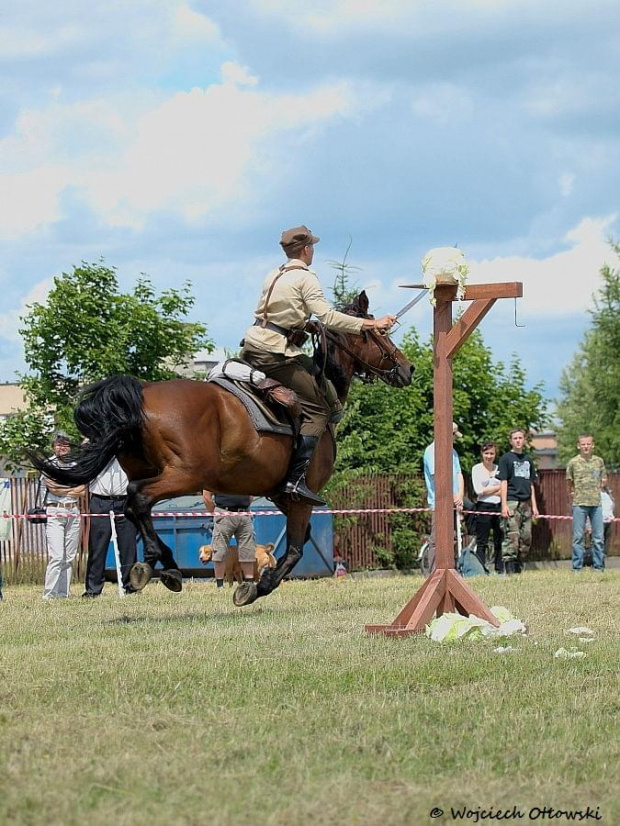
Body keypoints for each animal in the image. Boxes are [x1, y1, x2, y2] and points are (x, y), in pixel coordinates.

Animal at [31, 292, 414, 604]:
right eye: (379, 333)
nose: (408, 369)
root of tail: (142, 392)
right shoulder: (300, 497)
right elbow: (293, 548)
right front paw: (257, 587)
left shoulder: (280, 495)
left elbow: (299, 541)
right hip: (184, 476)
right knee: (138, 499)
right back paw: (161, 564)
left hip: (150, 470)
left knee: (131, 506)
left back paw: (161, 565)